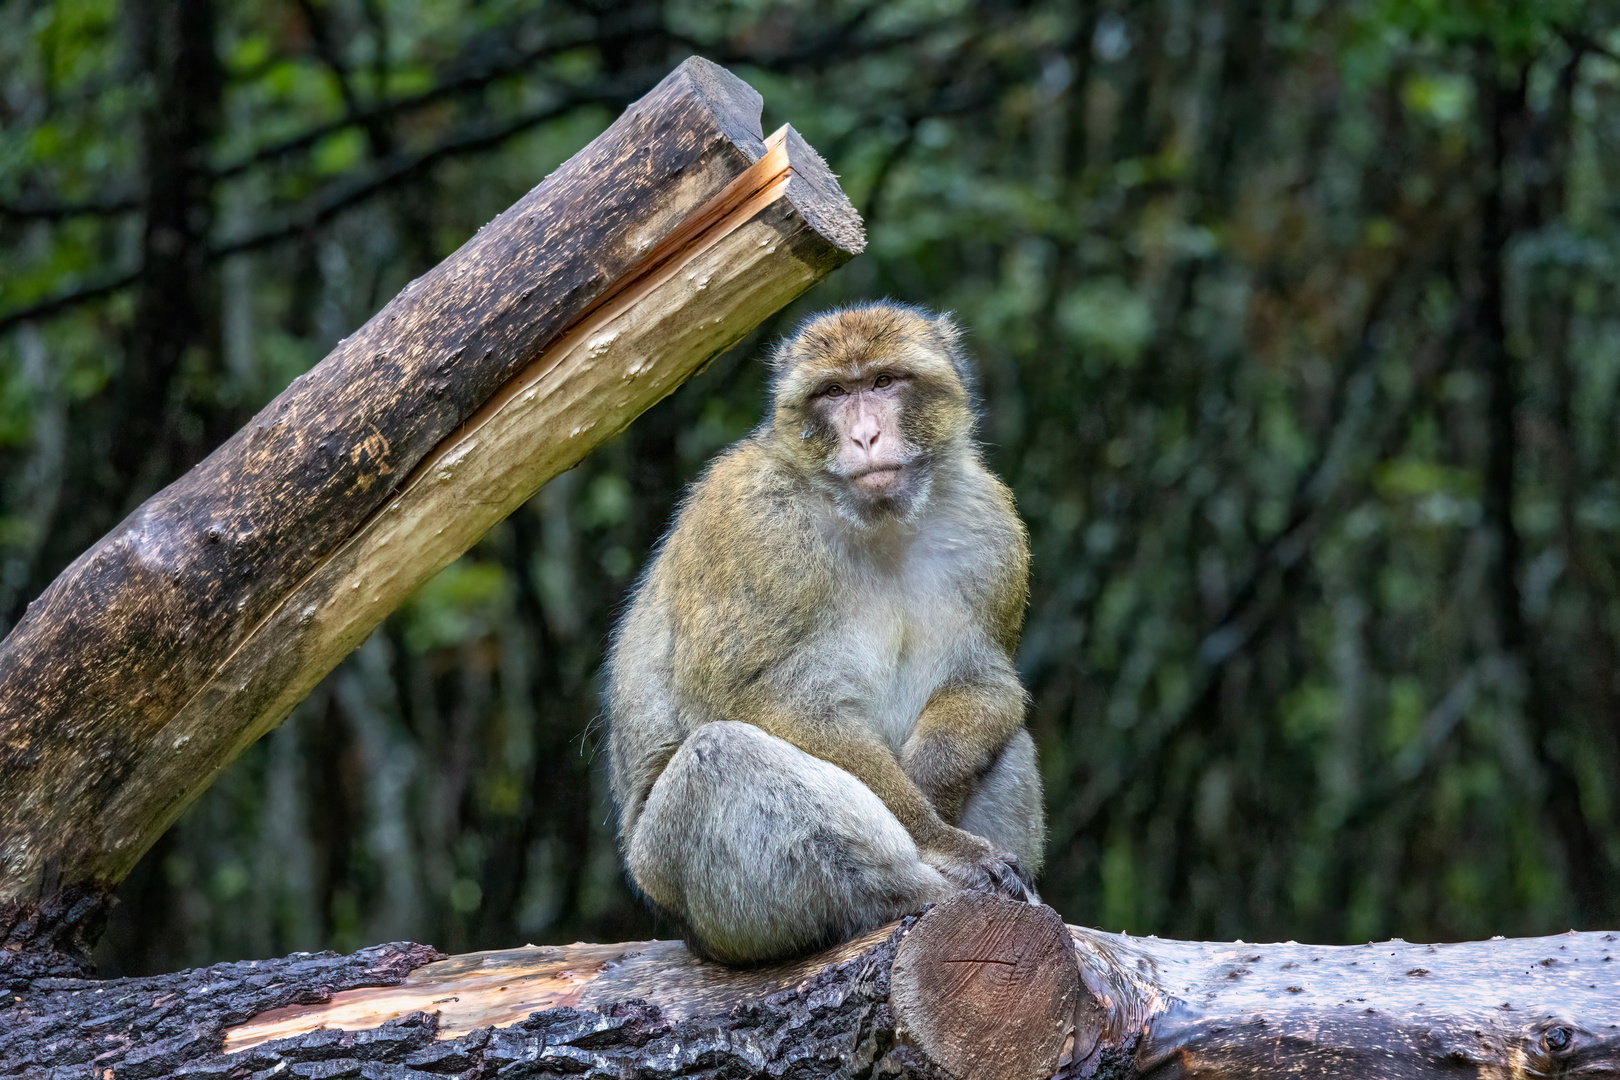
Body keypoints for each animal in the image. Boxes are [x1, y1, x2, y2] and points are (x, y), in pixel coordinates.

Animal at [602, 299, 1043, 965]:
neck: (875, 521)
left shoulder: (992, 527)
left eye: (884, 382)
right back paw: (915, 891)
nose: (865, 436)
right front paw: (939, 841)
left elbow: (987, 683)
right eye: (834, 392)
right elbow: (760, 698)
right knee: (720, 756)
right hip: (686, 893)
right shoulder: (751, 522)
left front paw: (933, 789)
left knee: (1007, 738)